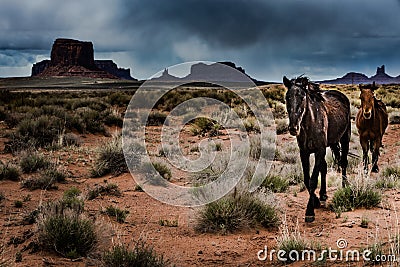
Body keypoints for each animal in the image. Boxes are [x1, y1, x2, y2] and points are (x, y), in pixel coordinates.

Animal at [282, 76, 352, 223]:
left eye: (302, 97)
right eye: (287, 97)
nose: (293, 128)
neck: (310, 123)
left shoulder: (320, 150)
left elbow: (313, 180)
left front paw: (309, 212)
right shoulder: (304, 152)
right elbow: (307, 179)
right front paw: (315, 201)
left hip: (345, 138)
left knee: (343, 163)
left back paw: (345, 186)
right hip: (332, 143)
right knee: (324, 168)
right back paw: (323, 194)